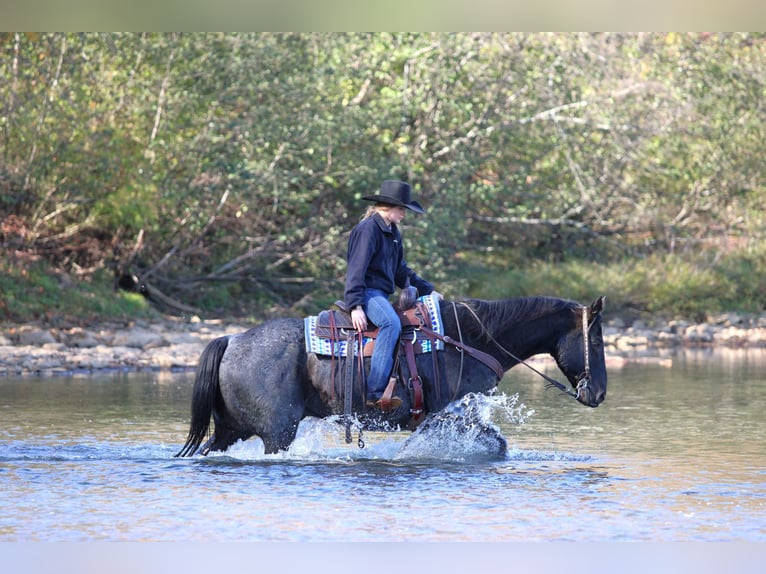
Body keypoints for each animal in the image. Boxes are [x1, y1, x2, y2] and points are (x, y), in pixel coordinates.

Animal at [176, 295, 607, 457]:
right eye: (598, 340)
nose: (599, 394)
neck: (470, 339)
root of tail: (232, 339)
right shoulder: (449, 413)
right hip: (276, 433)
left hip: (230, 428)